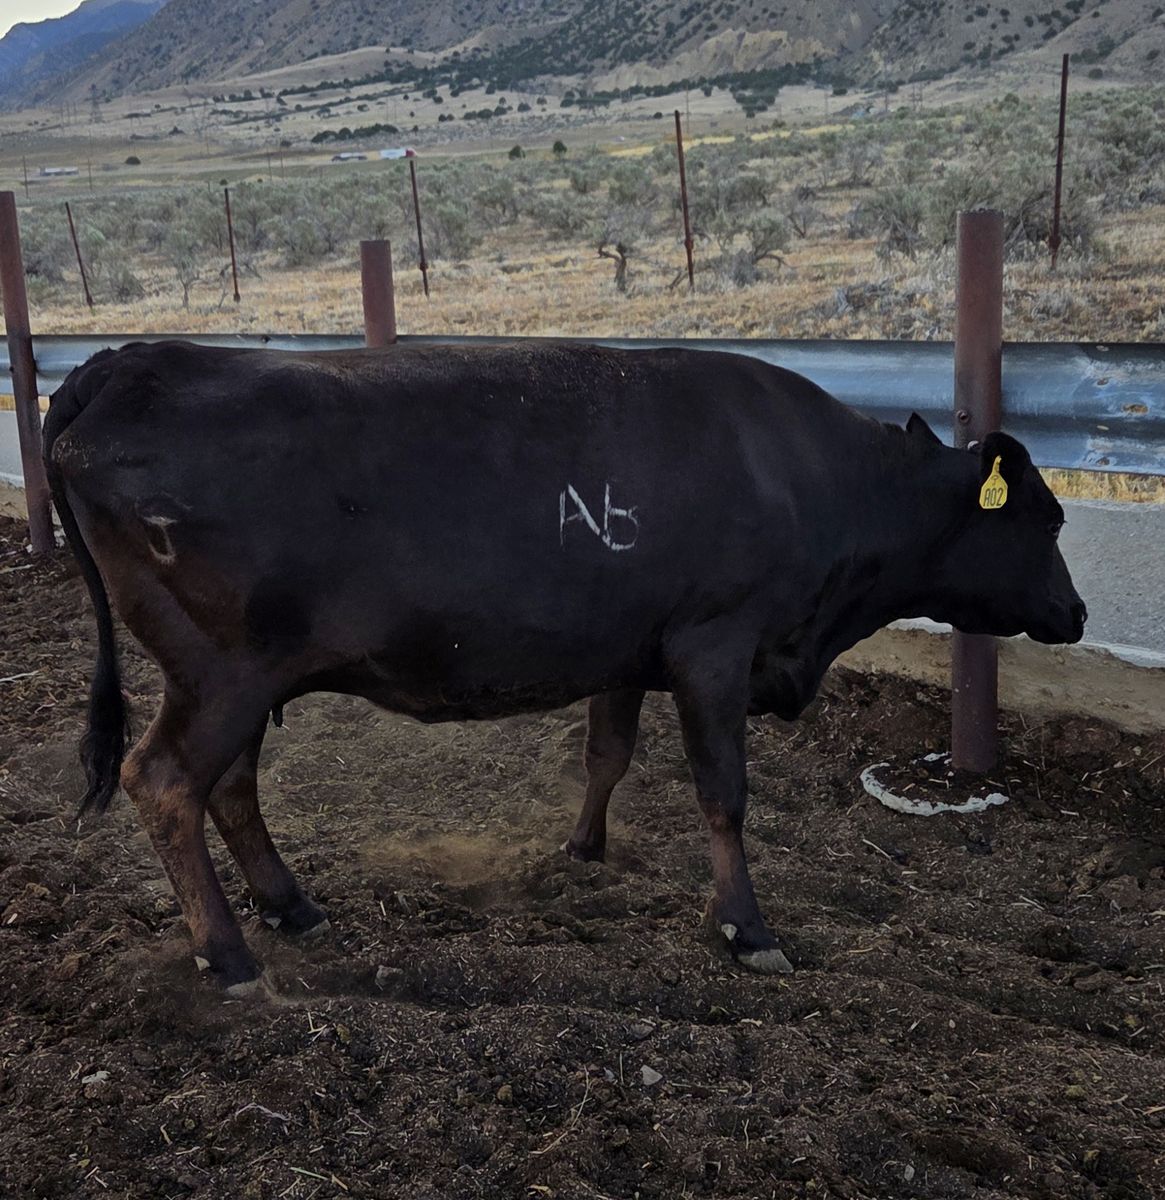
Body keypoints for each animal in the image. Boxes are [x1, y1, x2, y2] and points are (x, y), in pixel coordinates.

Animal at [43, 340, 1085, 995]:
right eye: (1045, 518)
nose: (1075, 614)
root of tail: (130, 361)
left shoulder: (630, 643)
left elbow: (607, 754)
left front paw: (584, 849)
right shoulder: (715, 643)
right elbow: (722, 792)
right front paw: (744, 927)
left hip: (246, 678)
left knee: (229, 787)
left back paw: (289, 906)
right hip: (219, 674)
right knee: (164, 781)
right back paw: (227, 956)